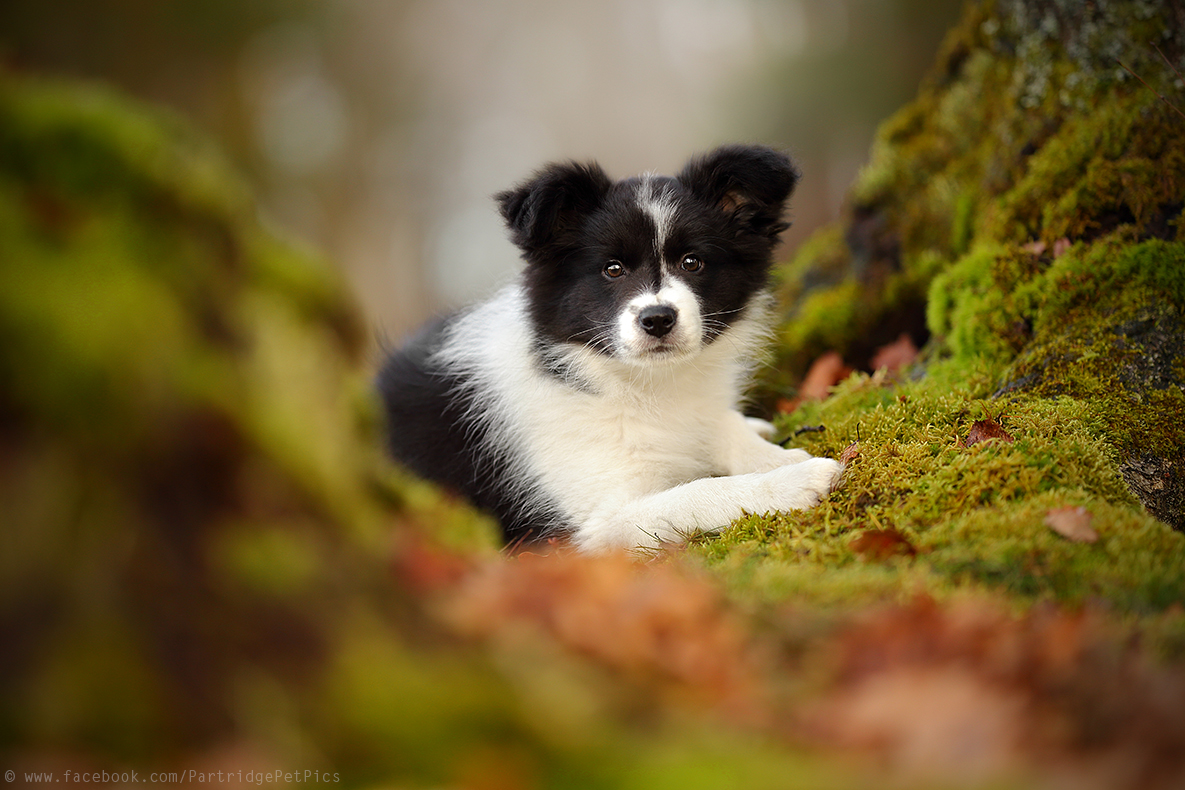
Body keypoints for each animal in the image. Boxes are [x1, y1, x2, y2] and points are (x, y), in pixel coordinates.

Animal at [379, 145, 843, 554]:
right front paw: (794, 481)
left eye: (692, 262)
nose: (657, 319)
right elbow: (698, 493)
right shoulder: (601, 525)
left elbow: (722, 424)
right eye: (612, 269)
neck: (642, 385)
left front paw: (772, 455)